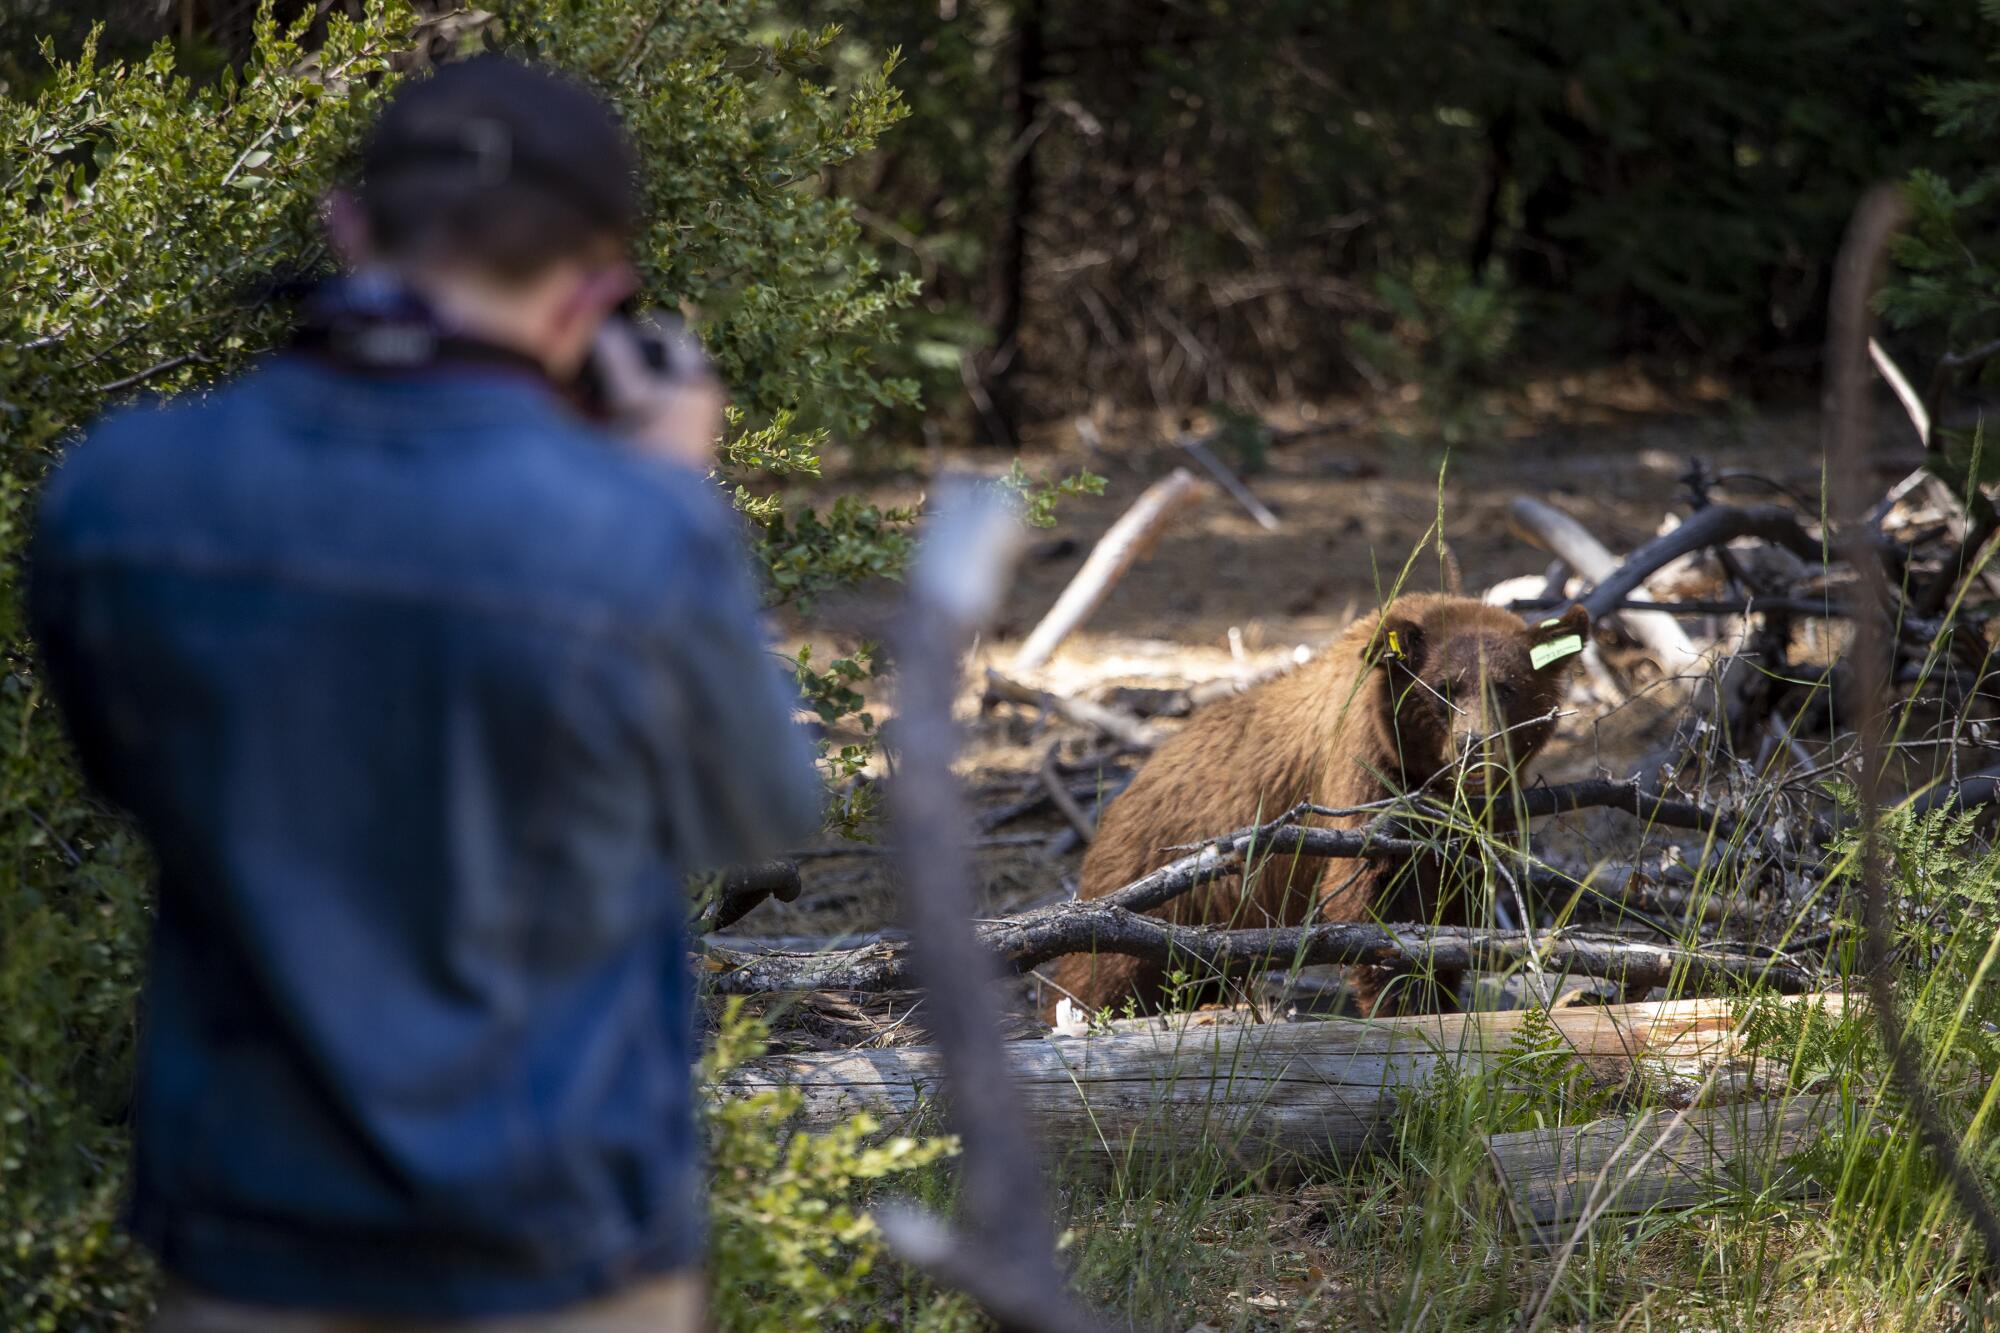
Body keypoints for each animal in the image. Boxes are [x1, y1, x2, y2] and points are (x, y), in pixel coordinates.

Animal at [1048, 592, 1592, 1016]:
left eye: (1507, 688)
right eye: (1444, 688)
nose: (1474, 745)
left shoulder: (1476, 822)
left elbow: (1455, 902)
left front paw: (1439, 995)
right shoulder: (1366, 775)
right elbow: (1373, 899)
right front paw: (1405, 1004)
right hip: (1152, 892)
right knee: (1104, 974)